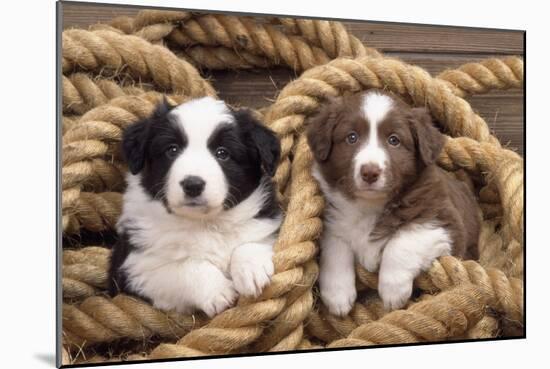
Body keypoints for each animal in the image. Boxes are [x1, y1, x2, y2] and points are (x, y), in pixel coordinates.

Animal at [109, 95, 282, 316]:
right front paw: (219, 291)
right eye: (172, 150)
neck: (205, 223)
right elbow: (184, 267)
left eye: (222, 153)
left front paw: (251, 270)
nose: (193, 185)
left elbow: (250, 241)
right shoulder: (134, 268)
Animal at [308, 89, 480, 314]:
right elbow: (334, 248)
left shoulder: (443, 222)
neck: (370, 205)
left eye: (394, 140)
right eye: (351, 137)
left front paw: (393, 290)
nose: (370, 172)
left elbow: (402, 241)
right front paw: (337, 295)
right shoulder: (332, 219)